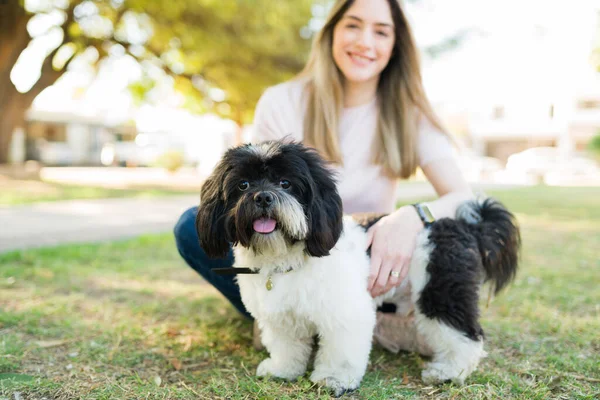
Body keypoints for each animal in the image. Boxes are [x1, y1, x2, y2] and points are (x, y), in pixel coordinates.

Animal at [197, 140, 520, 394]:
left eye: (285, 183)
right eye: (243, 185)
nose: (263, 196)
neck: (286, 256)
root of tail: (465, 226)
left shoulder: (345, 313)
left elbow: (341, 350)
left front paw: (333, 379)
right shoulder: (282, 317)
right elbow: (287, 345)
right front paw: (282, 369)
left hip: (440, 290)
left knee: (464, 334)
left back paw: (449, 372)